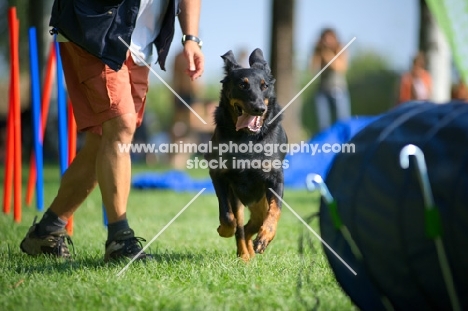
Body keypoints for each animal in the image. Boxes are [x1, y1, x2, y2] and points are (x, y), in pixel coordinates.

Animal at [206, 48, 288, 260]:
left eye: (264, 86)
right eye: (242, 85)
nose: (259, 108)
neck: (247, 138)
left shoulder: (275, 177)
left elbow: (275, 211)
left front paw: (265, 237)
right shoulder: (219, 174)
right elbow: (228, 216)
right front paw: (224, 230)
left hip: (260, 203)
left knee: (253, 225)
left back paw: (254, 247)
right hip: (239, 199)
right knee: (241, 227)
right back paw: (244, 255)